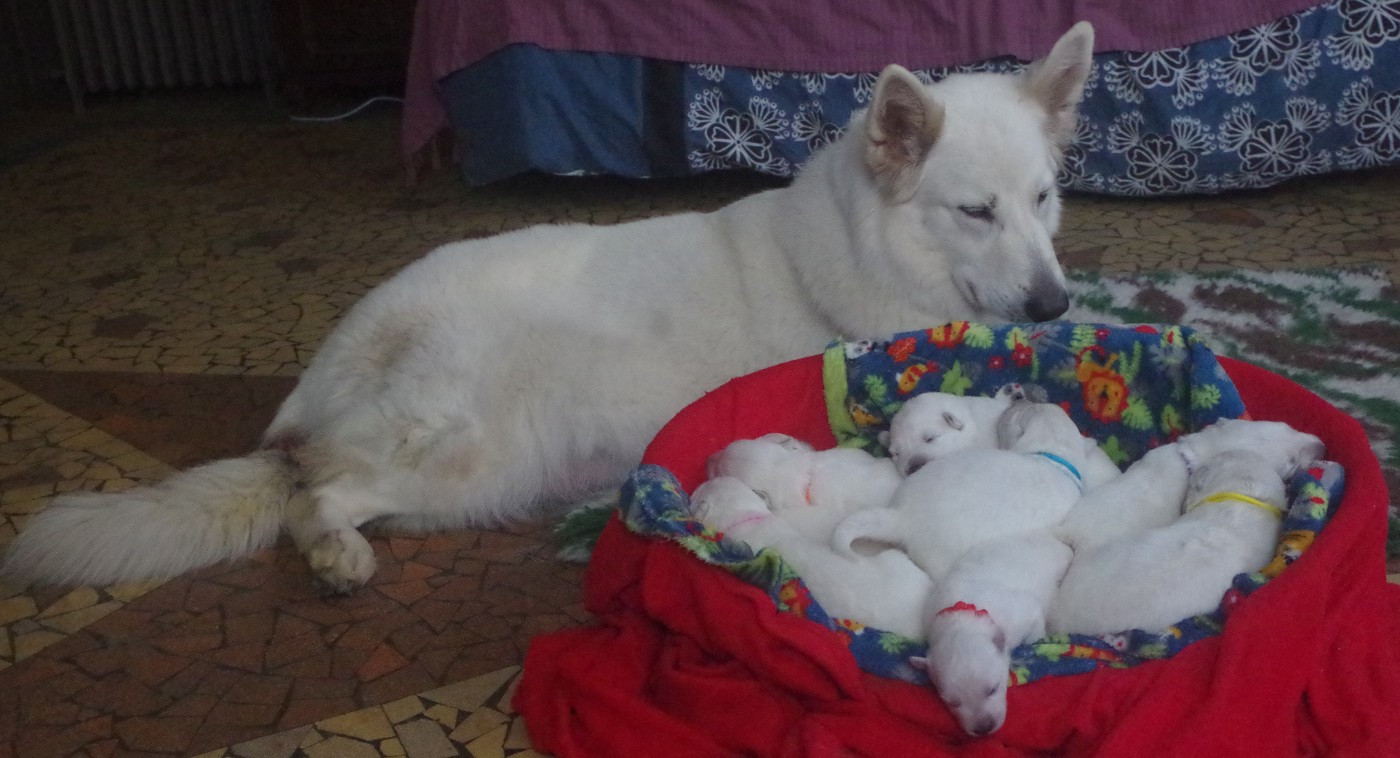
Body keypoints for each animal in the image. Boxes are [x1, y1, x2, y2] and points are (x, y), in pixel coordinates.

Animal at [910, 530, 1071, 736]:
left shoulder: (1024, 613)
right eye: (952, 702)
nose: (983, 728)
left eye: (993, 689)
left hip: (1059, 559)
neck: (962, 623)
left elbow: (1035, 629)